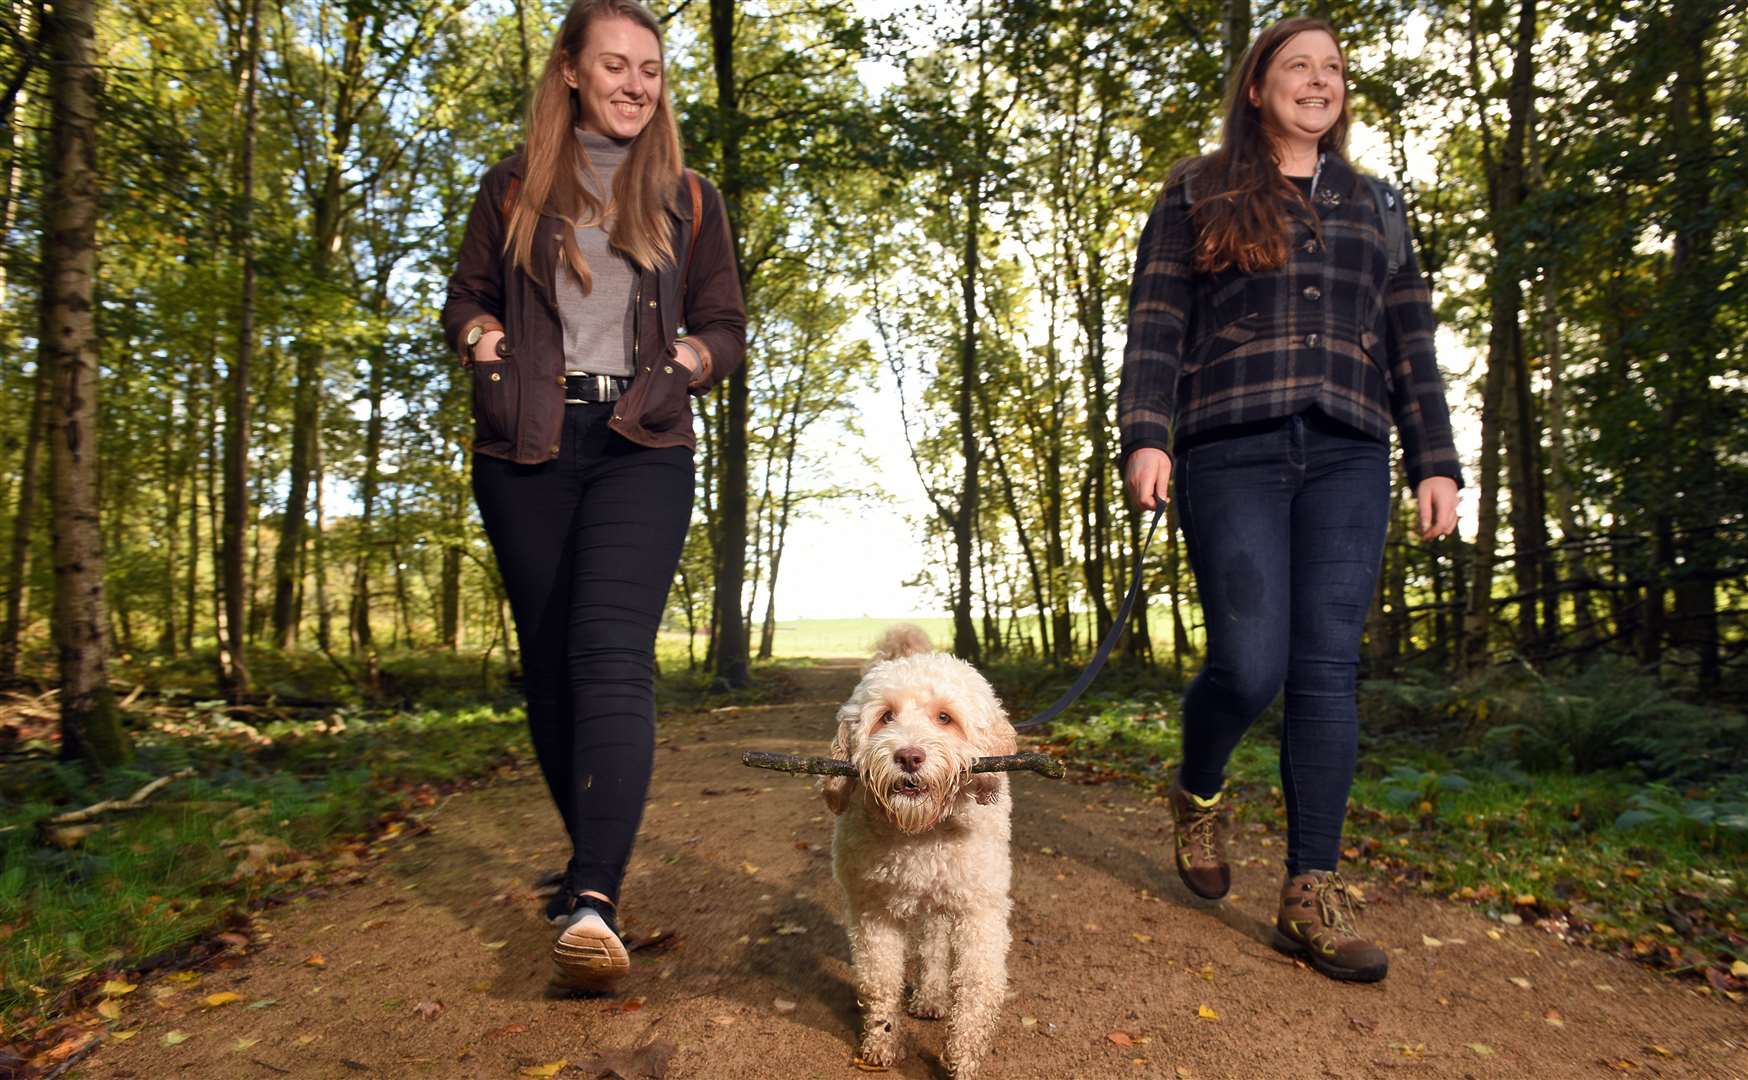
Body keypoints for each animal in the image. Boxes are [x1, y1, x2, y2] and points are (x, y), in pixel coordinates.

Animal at [825, 625, 1020, 1069]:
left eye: (944, 718)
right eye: (886, 716)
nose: (909, 756)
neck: (921, 834)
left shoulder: (980, 908)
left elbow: (977, 983)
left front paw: (964, 1058)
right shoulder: (873, 912)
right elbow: (879, 981)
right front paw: (881, 1043)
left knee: (933, 942)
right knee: (930, 942)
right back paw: (929, 995)